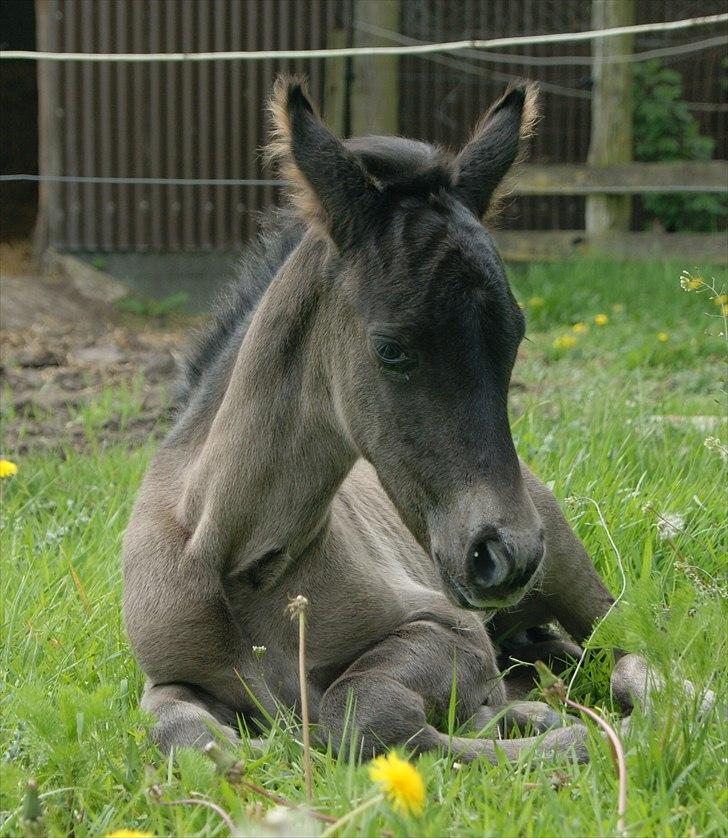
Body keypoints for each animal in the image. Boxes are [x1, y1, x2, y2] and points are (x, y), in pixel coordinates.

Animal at [122, 77, 644, 760]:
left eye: (515, 337)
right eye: (390, 349)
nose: (506, 553)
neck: (240, 567)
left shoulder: (446, 625)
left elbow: (359, 708)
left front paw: (557, 736)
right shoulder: (169, 678)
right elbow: (186, 736)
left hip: (570, 581)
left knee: (627, 651)